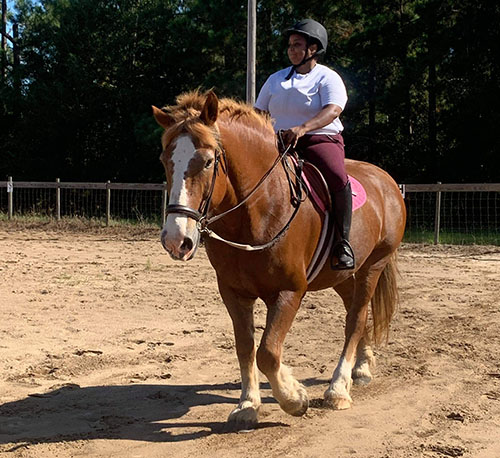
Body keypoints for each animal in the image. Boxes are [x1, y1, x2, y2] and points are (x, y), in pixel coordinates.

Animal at [152, 92, 406, 430]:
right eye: (165, 161)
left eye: (207, 161)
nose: (175, 240)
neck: (258, 211)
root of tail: (386, 181)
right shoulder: (234, 293)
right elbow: (246, 347)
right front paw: (248, 405)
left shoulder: (289, 291)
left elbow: (268, 352)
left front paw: (294, 398)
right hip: (340, 275)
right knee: (356, 310)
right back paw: (361, 368)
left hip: (372, 267)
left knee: (355, 318)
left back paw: (338, 389)